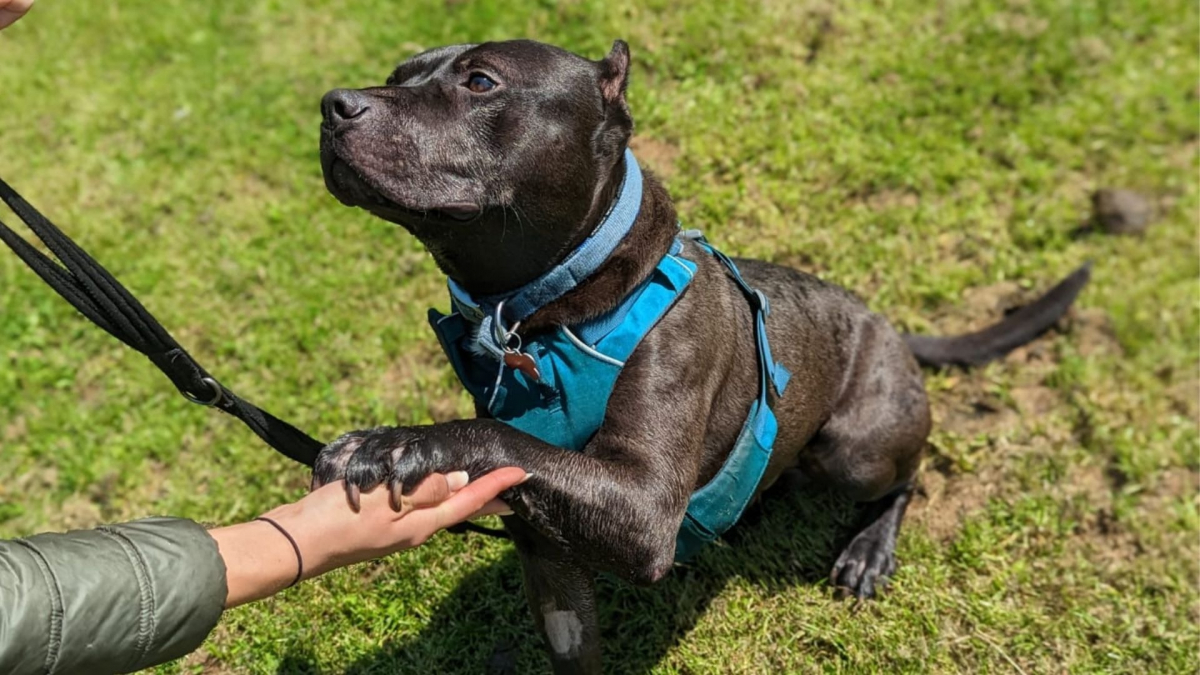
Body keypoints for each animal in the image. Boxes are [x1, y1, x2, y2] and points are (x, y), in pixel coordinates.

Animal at [309, 39, 1089, 667]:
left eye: (479, 81)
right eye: (398, 74)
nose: (332, 104)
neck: (539, 317)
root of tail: (887, 323)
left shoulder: (641, 504)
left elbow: (494, 434)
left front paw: (396, 444)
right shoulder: (550, 562)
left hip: (857, 447)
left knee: (905, 478)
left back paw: (869, 548)